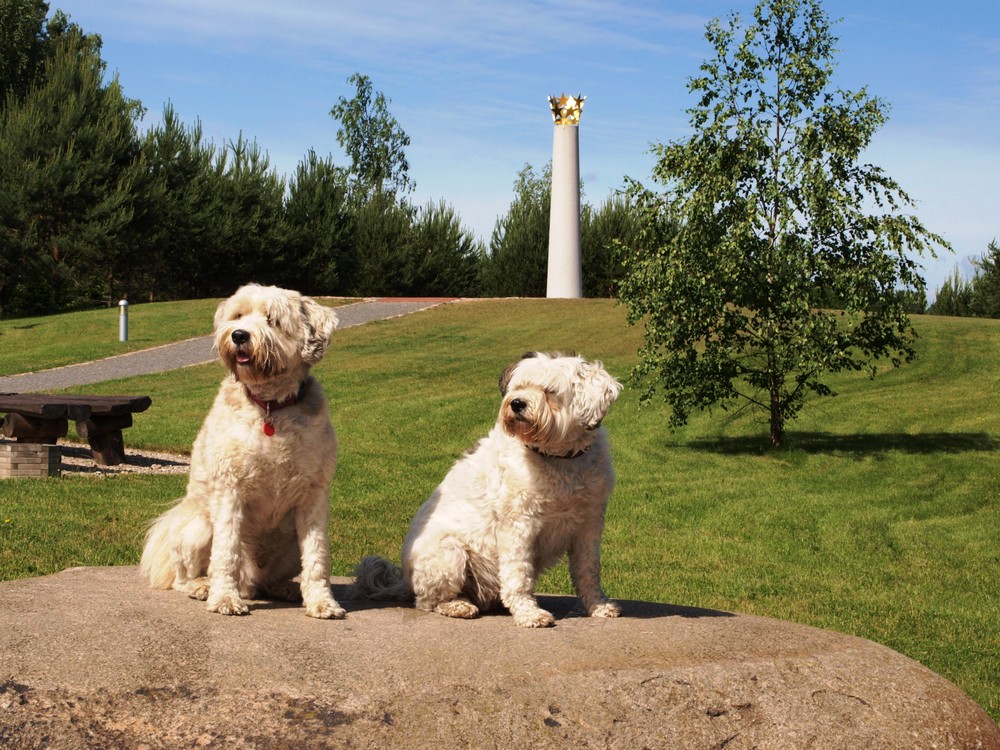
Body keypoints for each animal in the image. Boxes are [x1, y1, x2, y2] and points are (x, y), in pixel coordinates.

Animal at [139, 284, 346, 620]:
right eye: (238, 315)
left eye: (272, 319)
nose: (238, 335)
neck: (270, 407)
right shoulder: (230, 488)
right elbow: (226, 552)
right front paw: (225, 598)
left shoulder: (313, 494)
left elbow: (317, 556)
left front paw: (322, 602)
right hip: (198, 527)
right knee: (181, 577)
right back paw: (203, 586)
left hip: (290, 544)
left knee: (270, 580)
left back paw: (285, 588)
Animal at [350, 352, 616, 628]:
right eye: (519, 386)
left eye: (549, 391)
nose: (517, 403)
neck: (558, 459)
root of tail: (406, 579)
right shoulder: (518, 526)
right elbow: (519, 575)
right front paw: (529, 613)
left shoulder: (589, 524)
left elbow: (588, 570)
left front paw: (598, 606)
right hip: (450, 553)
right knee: (427, 602)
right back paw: (458, 606)